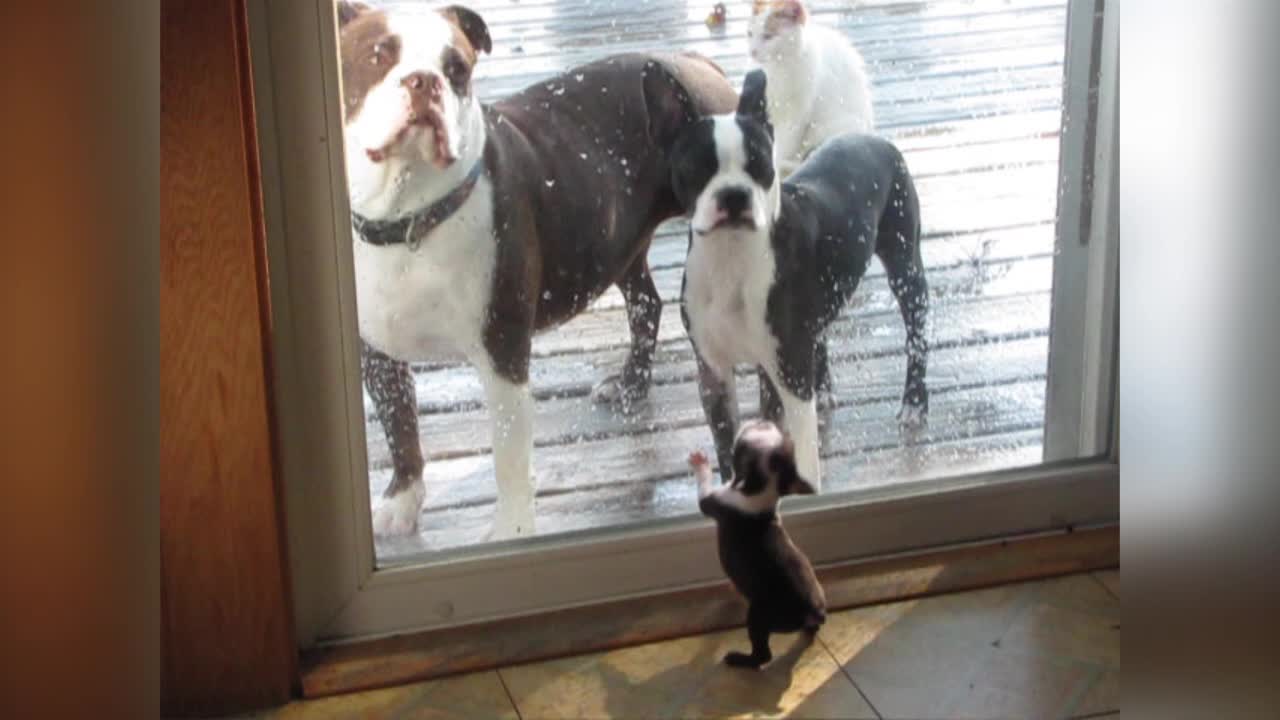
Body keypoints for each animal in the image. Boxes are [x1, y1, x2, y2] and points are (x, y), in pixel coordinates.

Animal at [670, 70, 931, 484]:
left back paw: (914, 402)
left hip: (905, 268)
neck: (731, 256)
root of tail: (867, 138)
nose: (733, 194)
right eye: (697, 168)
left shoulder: (788, 371)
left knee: (917, 334)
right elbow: (728, 444)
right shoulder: (714, 373)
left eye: (761, 164)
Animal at [691, 420, 829, 666]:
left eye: (742, 444)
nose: (762, 420)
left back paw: (740, 659)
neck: (760, 490)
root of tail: (812, 610)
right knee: (810, 630)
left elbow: (704, 488)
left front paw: (701, 463)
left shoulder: (714, 501)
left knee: (763, 654)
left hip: (758, 615)